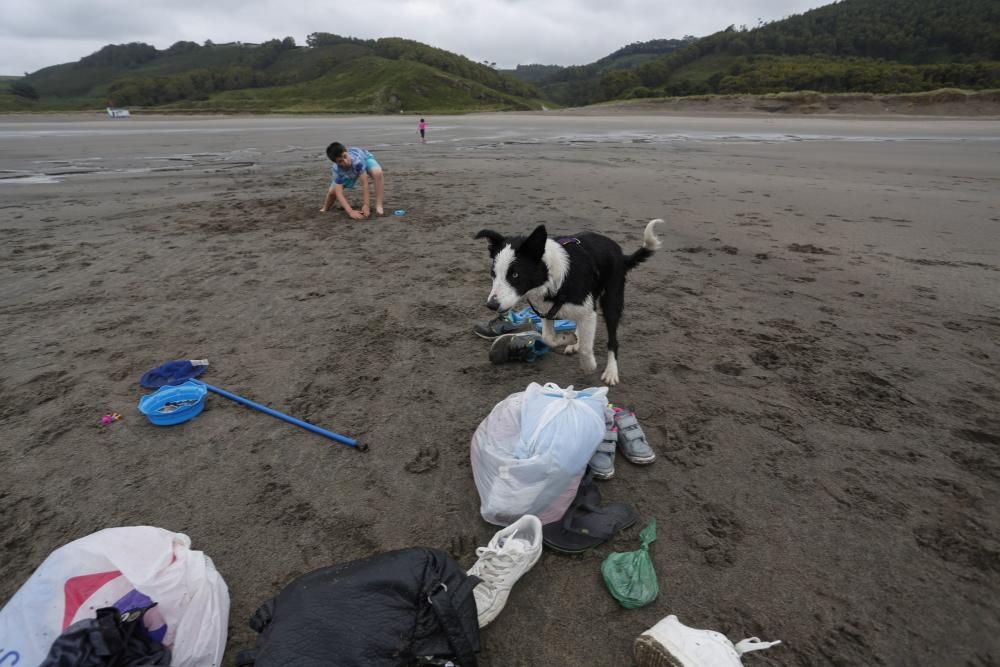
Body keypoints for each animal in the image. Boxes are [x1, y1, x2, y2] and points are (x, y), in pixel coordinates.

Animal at [472, 220, 660, 386]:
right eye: (493, 273)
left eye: (515, 274)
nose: (491, 305)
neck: (553, 278)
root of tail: (620, 253)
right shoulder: (546, 311)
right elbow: (548, 338)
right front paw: (569, 338)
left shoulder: (588, 312)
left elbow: (586, 348)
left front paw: (589, 365)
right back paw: (575, 341)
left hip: (612, 301)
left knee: (613, 340)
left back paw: (611, 371)